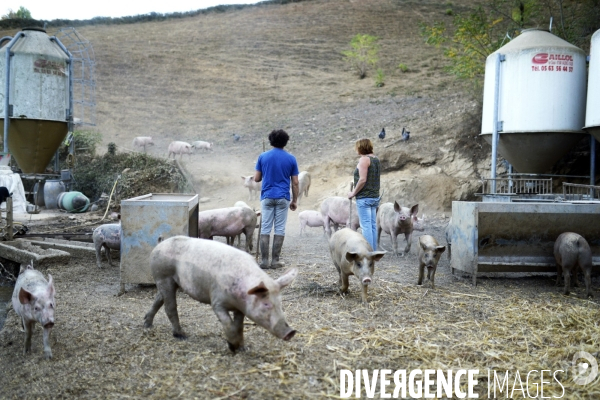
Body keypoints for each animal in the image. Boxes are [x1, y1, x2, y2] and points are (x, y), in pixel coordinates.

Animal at [144, 236, 298, 352]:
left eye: (280, 303)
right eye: (266, 303)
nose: (291, 332)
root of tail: (160, 243)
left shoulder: (240, 309)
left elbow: (239, 326)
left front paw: (242, 349)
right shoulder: (217, 302)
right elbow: (228, 323)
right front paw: (232, 347)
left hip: (169, 282)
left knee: (159, 299)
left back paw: (147, 324)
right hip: (163, 277)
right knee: (169, 306)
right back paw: (181, 335)